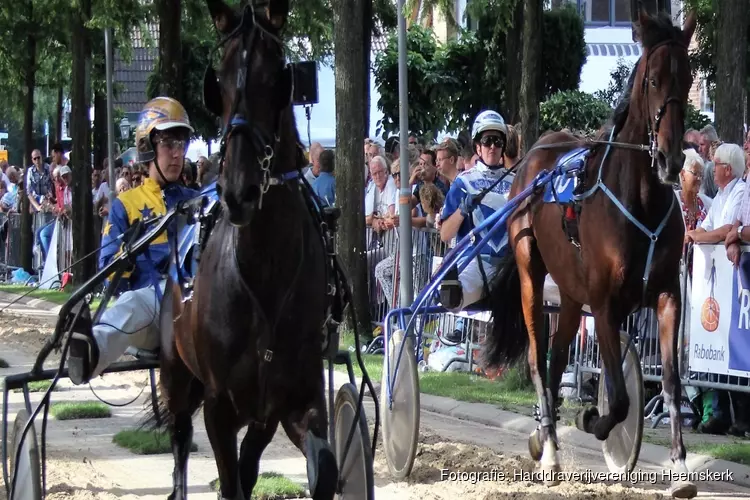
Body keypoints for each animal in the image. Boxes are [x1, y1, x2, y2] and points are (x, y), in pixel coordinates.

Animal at [148, 0, 340, 500]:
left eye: (277, 76)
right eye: (219, 78)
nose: (239, 190)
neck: (265, 275)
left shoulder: (298, 397)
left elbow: (325, 469)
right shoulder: (219, 406)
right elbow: (230, 478)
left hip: (262, 411)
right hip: (177, 375)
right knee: (180, 438)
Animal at [484, 8, 704, 500]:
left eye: (688, 77)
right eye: (653, 80)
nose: (671, 159)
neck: (640, 198)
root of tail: (537, 150)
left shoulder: (668, 296)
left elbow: (672, 382)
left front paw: (680, 466)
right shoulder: (605, 304)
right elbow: (619, 398)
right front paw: (593, 419)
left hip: (568, 294)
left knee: (556, 361)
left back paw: (544, 438)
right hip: (531, 275)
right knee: (537, 358)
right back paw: (549, 451)